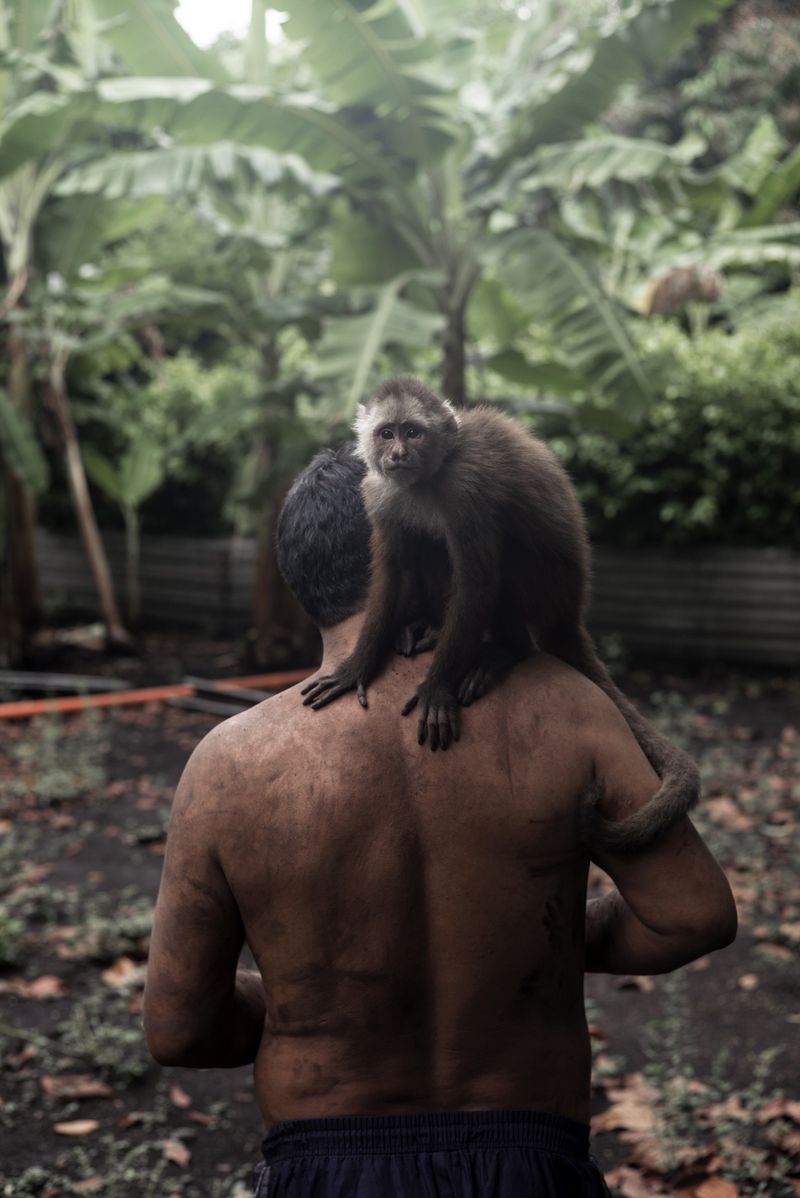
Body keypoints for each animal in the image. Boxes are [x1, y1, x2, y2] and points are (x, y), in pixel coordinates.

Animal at [301, 377, 700, 853]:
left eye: (413, 432)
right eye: (386, 433)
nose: (397, 453)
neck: (427, 480)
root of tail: (570, 612)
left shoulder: (464, 488)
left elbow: (477, 582)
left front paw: (437, 687)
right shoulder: (379, 492)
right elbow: (390, 576)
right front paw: (358, 666)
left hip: (548, 587)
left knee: (504, 555)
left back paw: (506, 649)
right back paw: (429, 628)